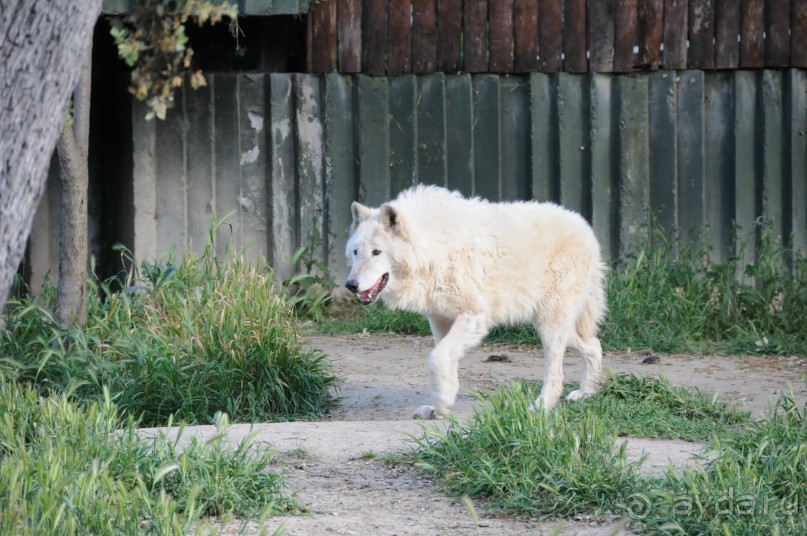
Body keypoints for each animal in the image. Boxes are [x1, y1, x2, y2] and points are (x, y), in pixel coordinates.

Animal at [346, 185, 608, 418]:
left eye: (377, 252)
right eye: (356, 252)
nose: (351, 285)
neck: (431, 248)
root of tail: (586, 228)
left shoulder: (474, 315)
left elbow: (437, 358)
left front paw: (442, 404)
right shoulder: (441, 320)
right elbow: (444, 361)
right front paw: (439, 405)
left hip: (549, 323)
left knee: (556, 373)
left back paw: (541, 407)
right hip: (552, 323)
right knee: (594, 345)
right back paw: (586, 393)